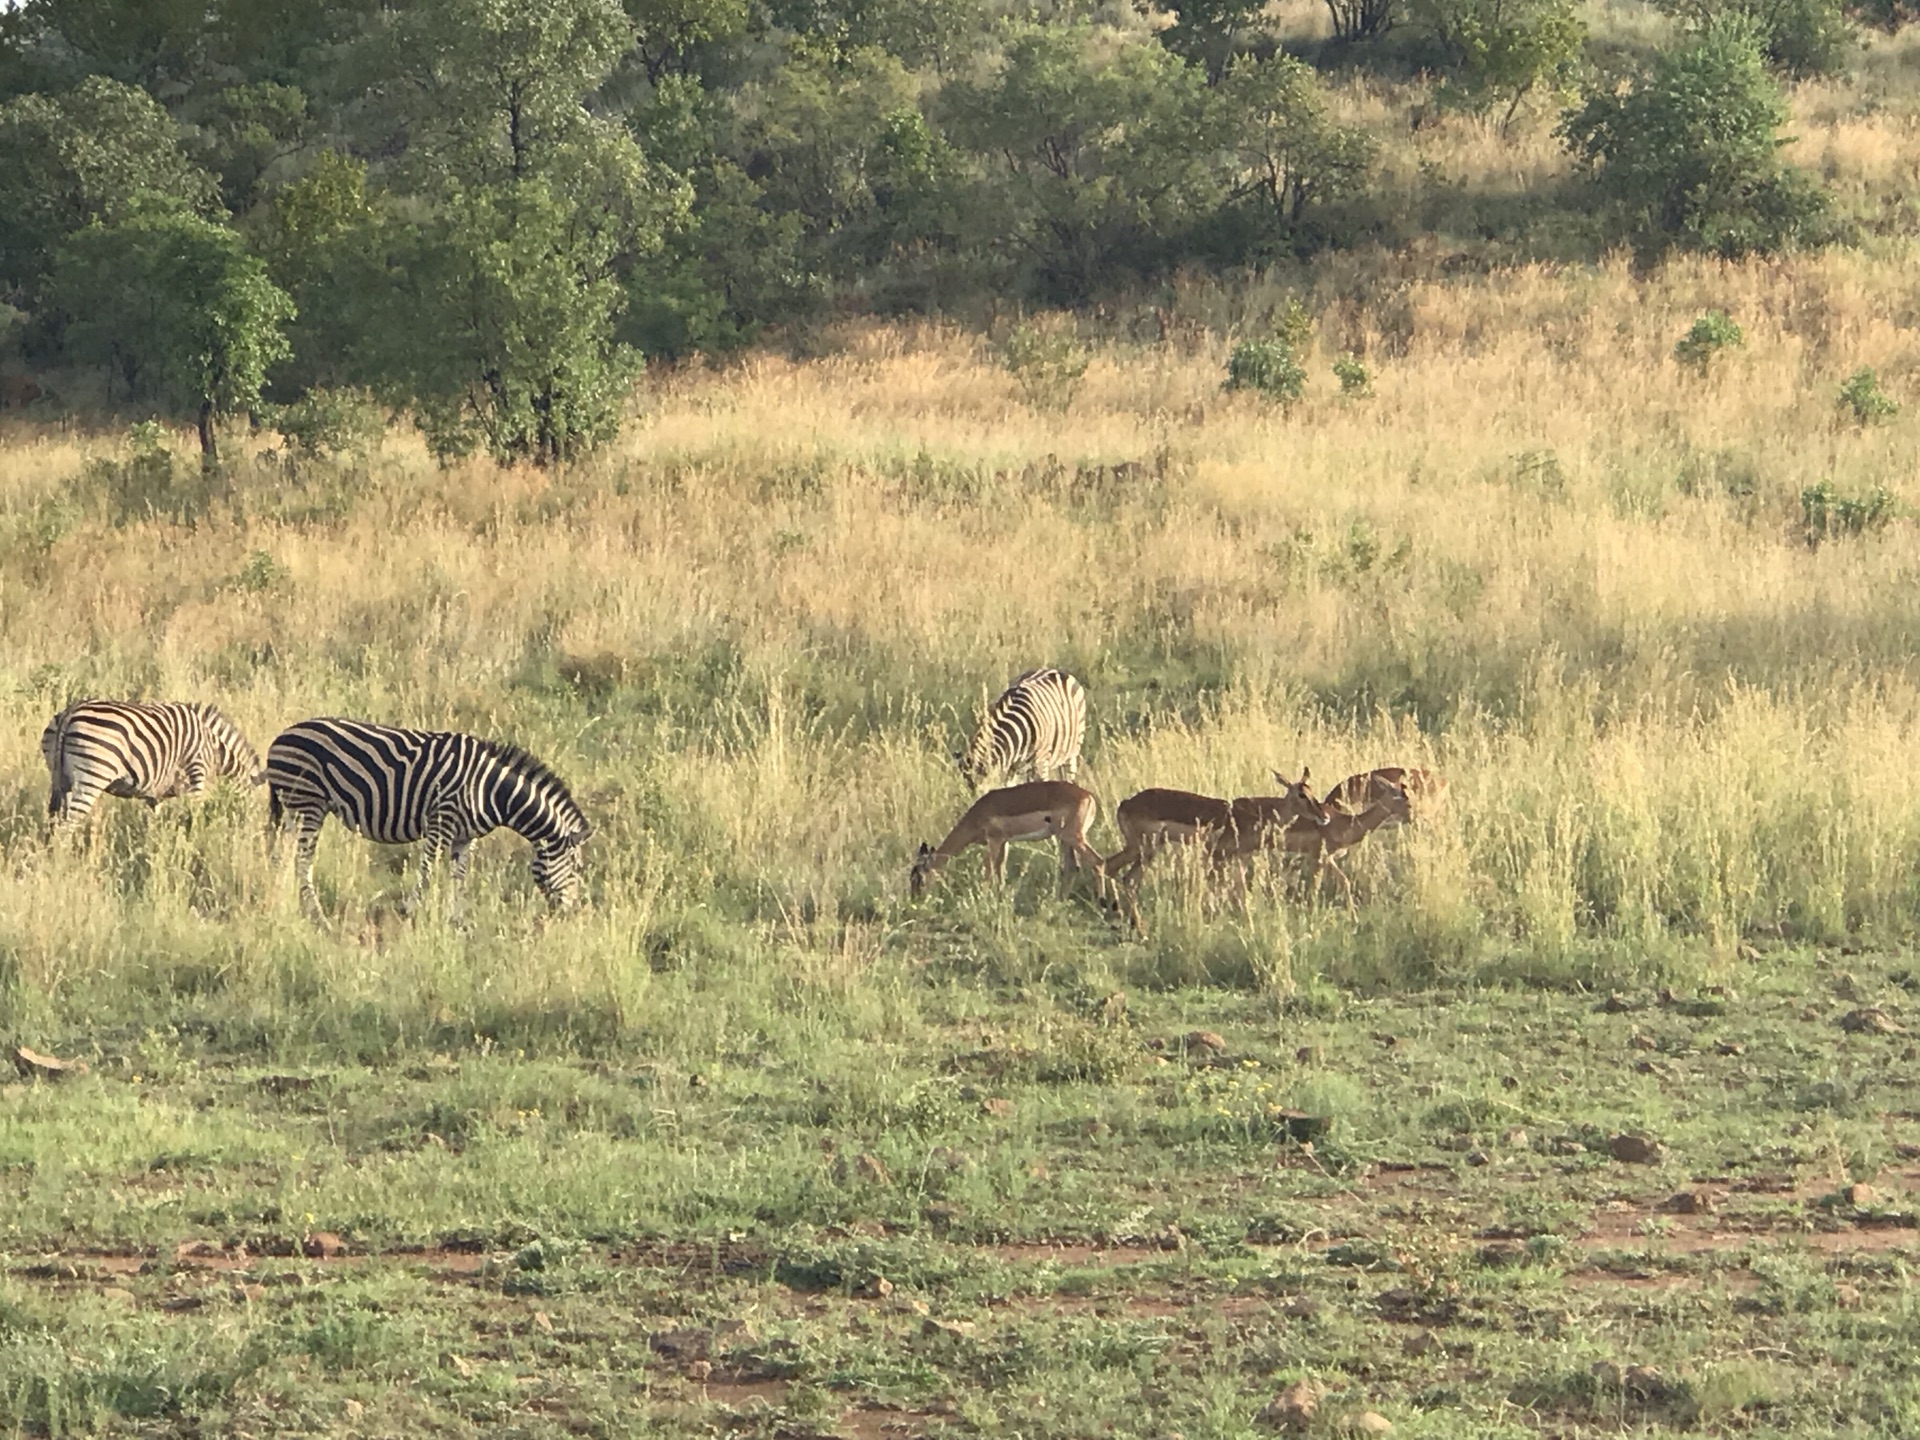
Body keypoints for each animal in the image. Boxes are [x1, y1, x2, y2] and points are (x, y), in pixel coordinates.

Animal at [42, 698, 263, 821]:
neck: (213, 746)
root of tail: (71, 712)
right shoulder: (196, 775)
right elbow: (194, 814)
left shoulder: (155, 792)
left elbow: (155, 821)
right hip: (93, 775)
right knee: (69, 822)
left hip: (61, 779)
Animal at [266, 721, 587, 925]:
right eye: (576, 868)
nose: (571, 914)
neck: (490, 790)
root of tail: (280, 737)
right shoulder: (441, 821)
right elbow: (428, 870)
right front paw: (410, 911)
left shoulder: (465, 837)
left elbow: (459, 877)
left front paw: (457, 920)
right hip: (309, 804)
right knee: (301, 861)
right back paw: (317, 917)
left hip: (293, 809)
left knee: (281, 857)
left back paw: (281, 905)